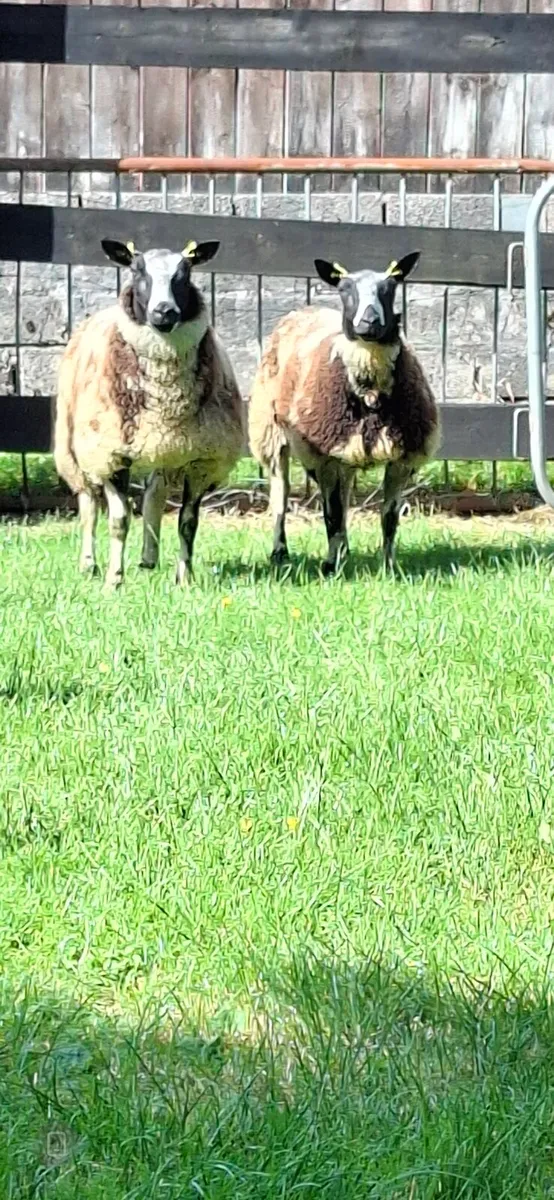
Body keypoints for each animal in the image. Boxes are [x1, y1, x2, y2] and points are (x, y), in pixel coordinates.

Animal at [55, 237, 244, 587]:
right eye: (136, 270)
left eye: (184, 273)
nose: (164, 311)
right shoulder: (111, 454)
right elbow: (118, 520)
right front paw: (114, 580)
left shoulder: (200, 460)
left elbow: (187, 522)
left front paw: (185, 578)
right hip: (75, 447)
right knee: (88, 503)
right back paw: (89, 564)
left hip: (163, 449)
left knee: (154, 495)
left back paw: (149, 558)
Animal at [248, 251, 440, 574]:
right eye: (344, 289)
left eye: (390, 287)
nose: (369, 322)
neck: (370, 392)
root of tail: (302, 310)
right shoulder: (323, 457)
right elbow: (332, 515)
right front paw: (330, 567)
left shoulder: (402, 458)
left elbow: (389, 517)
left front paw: (389, 566)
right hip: (270, 433)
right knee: (280, 496)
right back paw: (280, 552)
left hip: (344, 448)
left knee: (345, 496)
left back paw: (344, 551)